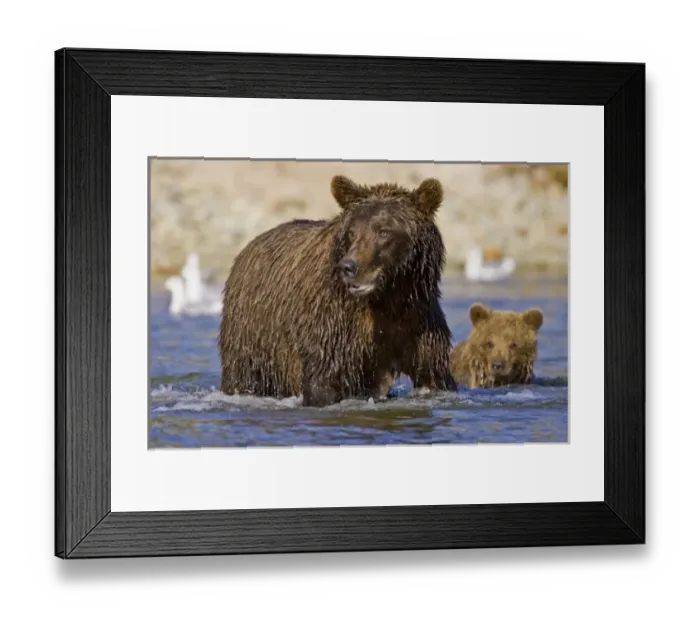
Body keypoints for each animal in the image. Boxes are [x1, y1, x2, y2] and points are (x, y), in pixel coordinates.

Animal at [218, 174, 458, 407]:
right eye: (352, 231)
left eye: (383, 231)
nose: (348, 266)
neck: (386, 297)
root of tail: (247, 248)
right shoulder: (333, 326)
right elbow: (322, 383)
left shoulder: (419, 323)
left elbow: (434, 376)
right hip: (253, 337)